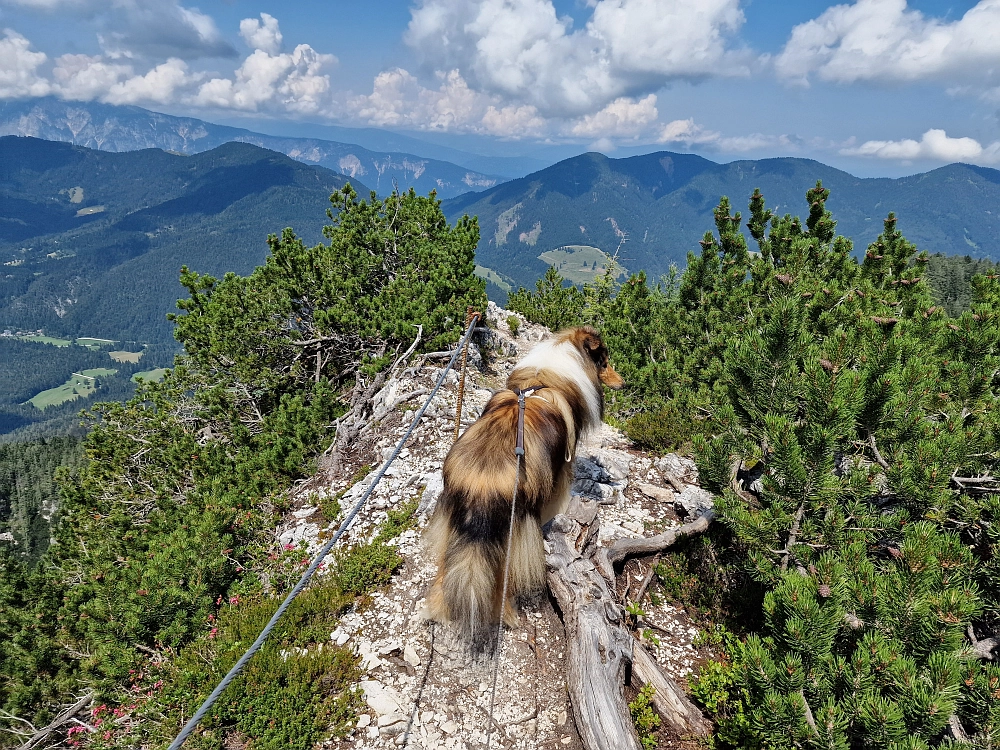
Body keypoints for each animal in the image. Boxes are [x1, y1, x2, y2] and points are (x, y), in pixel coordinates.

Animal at [424, 326, 624, 648]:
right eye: (604, 362)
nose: (624, 382)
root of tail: (483, 478)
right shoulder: (561, 471)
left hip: (455, 521)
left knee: (446, 564)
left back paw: (439, 608)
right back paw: (504, 614)